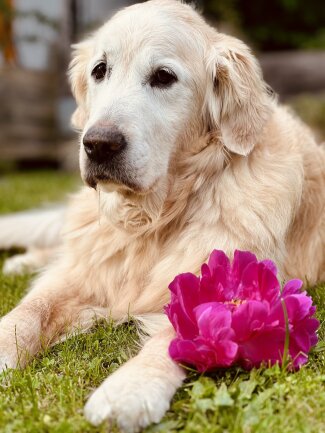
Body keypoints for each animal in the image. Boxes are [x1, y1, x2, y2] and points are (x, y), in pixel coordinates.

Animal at [0, 1, 324, 430]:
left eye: (163, 77)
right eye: (100, 70)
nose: (98, 144)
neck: (154, 217)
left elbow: (175, 336)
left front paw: (129, 388)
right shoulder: (83, 270)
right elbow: (28, 310)